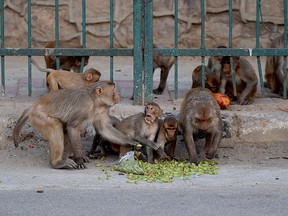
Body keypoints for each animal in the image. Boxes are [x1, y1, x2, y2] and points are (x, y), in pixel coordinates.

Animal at [12, 80, 160, 169]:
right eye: (113, 89)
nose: (118, 94)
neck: (95, 102)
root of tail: (32, 107)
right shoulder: (84, 107)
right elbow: (73, 127)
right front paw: (79, 161)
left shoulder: (102, 110)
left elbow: (104, 129)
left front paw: (132, 141)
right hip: (40, 117)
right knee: (56, 128)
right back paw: (58, 163)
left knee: (65, 130)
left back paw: (67, 157)